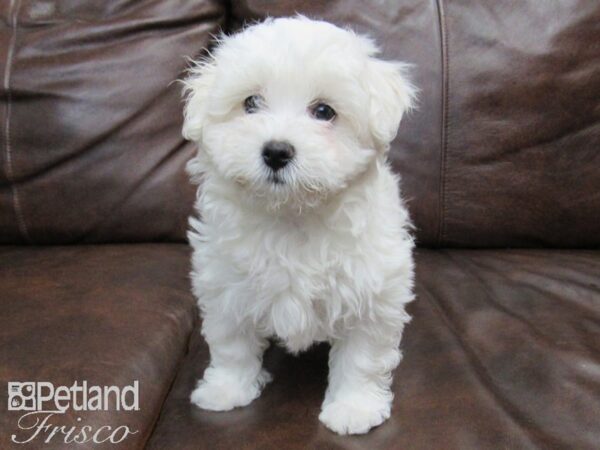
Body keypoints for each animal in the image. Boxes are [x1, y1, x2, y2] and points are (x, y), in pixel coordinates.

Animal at [184, 17, 418, 436]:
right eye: (250, 103)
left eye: (324, 111)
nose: (277, 151)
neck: (292, 216)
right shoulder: (225, 283)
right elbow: (231, 343)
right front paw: (227, 390)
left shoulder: (372, 292)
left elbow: (362, 356)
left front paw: (354, 408)